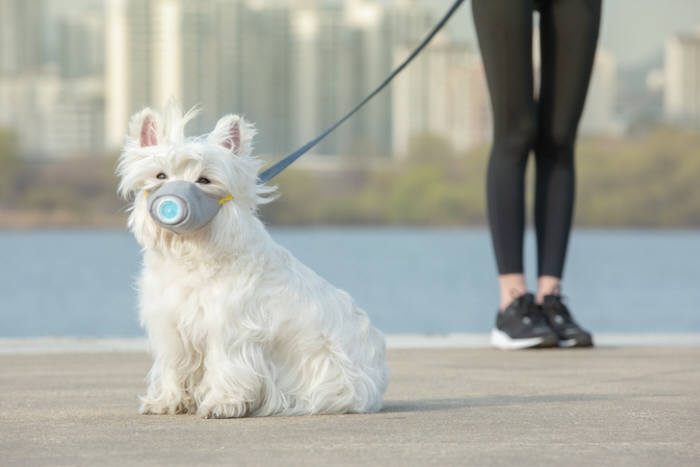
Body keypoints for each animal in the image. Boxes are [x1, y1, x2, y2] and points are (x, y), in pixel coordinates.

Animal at [116, 103, 388, 420]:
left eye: (204, 180)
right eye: (160, 175)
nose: (172, 202)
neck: (192, 251)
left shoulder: (229, 329)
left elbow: (225, 367)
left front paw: (220, 404)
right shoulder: (171, 327)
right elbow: (173, 366)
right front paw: (165, 402)